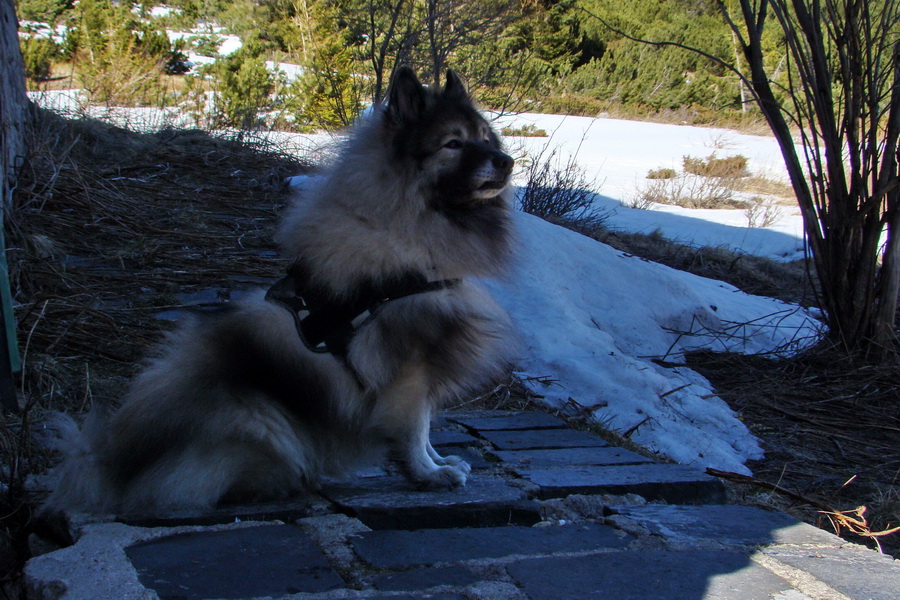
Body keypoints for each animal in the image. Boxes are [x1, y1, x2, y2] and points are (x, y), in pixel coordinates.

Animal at [45, 67, 516, 516]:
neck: (404, 227)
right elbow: (415, 427)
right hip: (259, 419)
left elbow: (427, 426)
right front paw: (427, 474)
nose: (507, 161)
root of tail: (118, 467)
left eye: (484, 138)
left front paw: (441, 462)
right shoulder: (410, 367)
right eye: (452, 144)